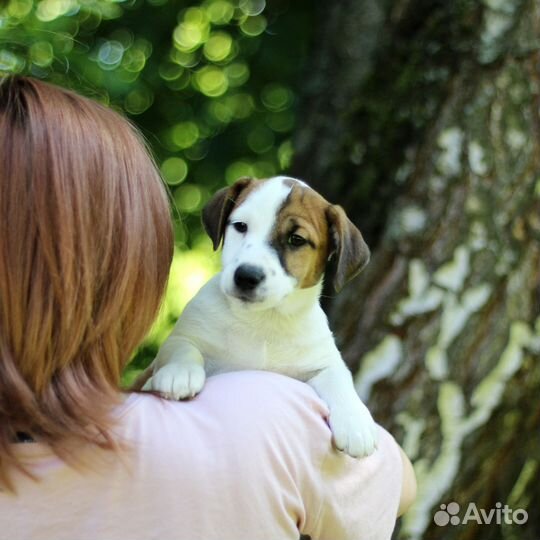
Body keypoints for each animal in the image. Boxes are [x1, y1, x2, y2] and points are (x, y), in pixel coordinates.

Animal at [137, 176, 378, 456]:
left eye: (296, 239)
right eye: (240, 226)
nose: (246, 276)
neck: (263, 320)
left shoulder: (322, 361)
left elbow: (340, 377)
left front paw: (355, 421)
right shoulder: (183, 337)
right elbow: (183, 349)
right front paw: (179, 373)